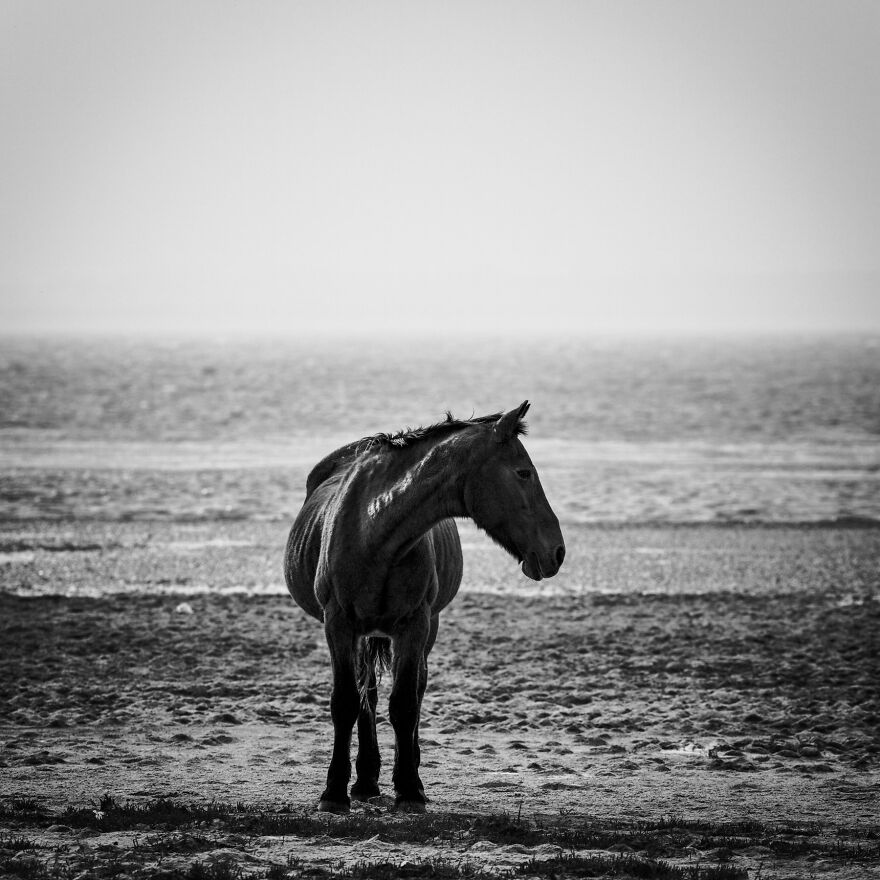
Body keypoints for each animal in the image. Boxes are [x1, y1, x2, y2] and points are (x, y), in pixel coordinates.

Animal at [284, 400, 565, 812]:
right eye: (523, 472)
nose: (557, 552)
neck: (375, 533)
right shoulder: (339, 625)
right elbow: (346, 702)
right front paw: (334, 792)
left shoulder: (414, 625)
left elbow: (404, 703)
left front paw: (410, 789)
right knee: (368, 695)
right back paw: (365, 781)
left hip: (426, 627)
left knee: (414, 690)